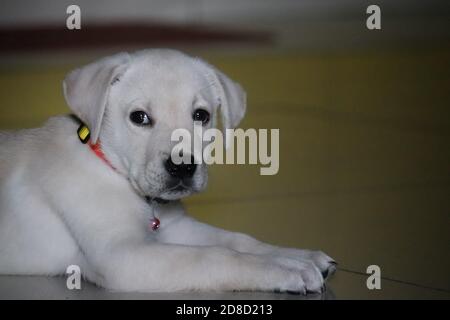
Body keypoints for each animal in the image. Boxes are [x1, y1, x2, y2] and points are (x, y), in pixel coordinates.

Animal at [0, 48, 336, 294]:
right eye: (139, 117)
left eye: (201, 115)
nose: (182, 166)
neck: (111, 169)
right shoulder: (120, 255)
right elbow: (215, 255)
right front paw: (285, 269)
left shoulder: (178, 227)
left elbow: (237, 240)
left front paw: (295, 255)